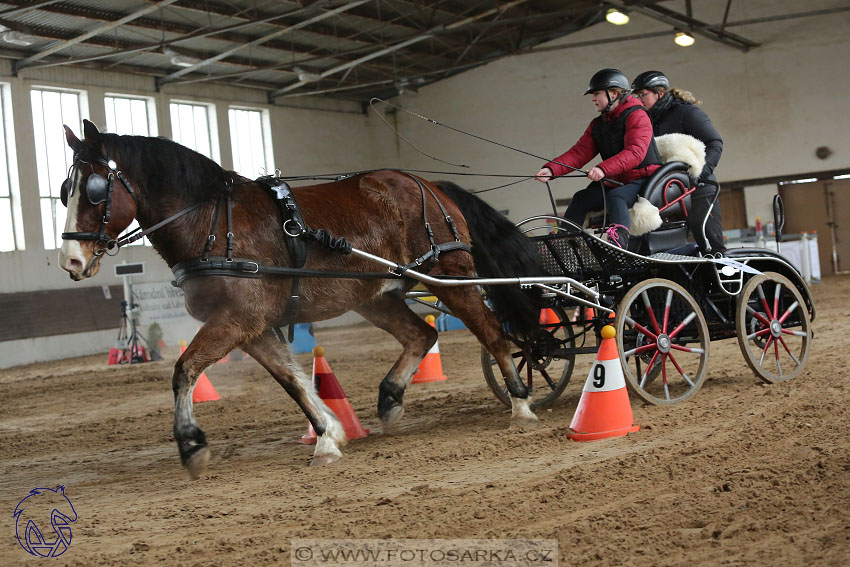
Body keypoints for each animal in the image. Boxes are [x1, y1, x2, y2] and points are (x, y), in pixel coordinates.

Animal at [58, 121, 544, 480]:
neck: (213, 222)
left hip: (449, 277)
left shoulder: (235, 320)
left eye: (96, 188)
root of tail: (428, 184)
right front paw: (328, 435)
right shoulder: (250, 328)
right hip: (376, 296)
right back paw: (390, 400)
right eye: (65, 190)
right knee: (420, 336)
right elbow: (292, 380)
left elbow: (184, 370)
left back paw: (521, 405)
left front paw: (191, 443)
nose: (71, 261)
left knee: (494, 335)